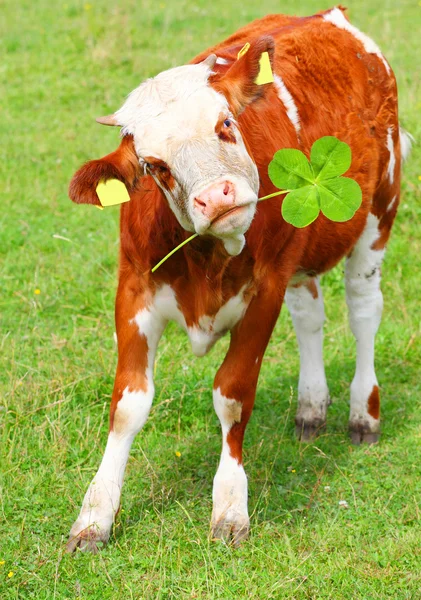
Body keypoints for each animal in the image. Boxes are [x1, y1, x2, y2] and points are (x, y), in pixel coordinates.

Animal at [65, 7, 410, 552]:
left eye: (225, 123)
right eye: (153, 165)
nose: (217, 197)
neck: (208, 259)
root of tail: (324, 15)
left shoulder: (264, 290)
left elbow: (232, 393)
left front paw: (229, 506)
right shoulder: (134, 290)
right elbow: (127, 405)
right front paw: (95, 515)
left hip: (380, 212)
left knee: (363, 310)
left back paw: (364, 413)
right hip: (301, 254)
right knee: (310, 314)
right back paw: (311, 408)